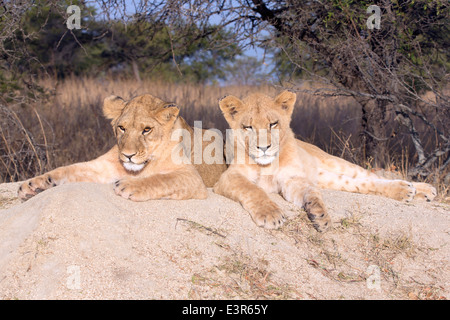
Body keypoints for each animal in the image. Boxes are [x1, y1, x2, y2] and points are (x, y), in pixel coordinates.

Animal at [18, 94, 227, 201]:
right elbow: (67, 170)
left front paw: (129, 185)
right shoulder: (102, 167)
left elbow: (163, 178)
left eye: (146, 129)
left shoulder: (193, 179)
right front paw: (34, 184)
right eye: (122, 128)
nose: (128, 155)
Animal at [214, 91, 436, 231]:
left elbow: (312, 193)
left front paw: (320, 213)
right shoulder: (229, 176)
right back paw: (412, 192)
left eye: (273, 123)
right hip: (329, 178)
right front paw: (271, 214)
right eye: (248, 127)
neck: (267, 165)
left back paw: (418, 189)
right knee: (362, 184)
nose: (263, 147)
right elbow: (253, 189)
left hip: (337, 162)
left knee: (372, 177)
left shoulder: (292, 179)